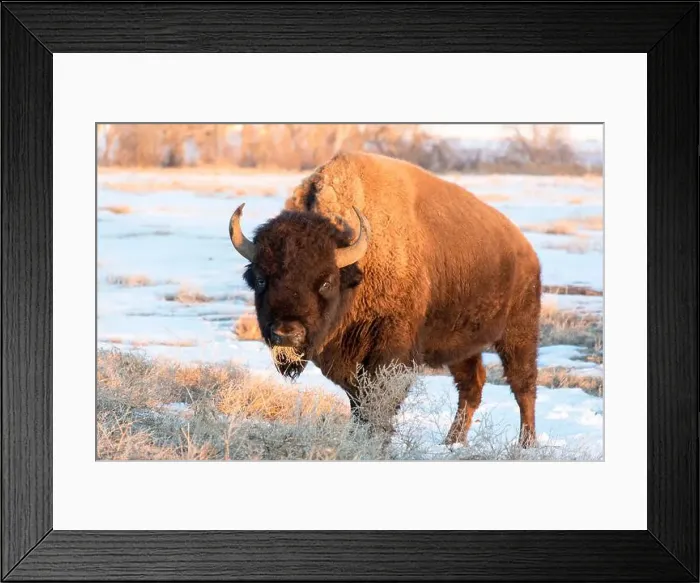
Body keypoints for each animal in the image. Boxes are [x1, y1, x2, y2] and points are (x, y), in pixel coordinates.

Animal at [229, 152, 541, 447]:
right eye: (261, 279)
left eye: (326, 282)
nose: (286, 332)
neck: (357, 270)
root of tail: (525, 248)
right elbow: (358, 403)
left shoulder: (390, 352)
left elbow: (379, 402)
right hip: (462, 345)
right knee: (471, 385)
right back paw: (452, 441)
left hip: (518, 332)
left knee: (523, 385)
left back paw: (525, 444)